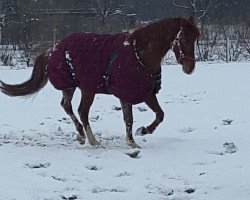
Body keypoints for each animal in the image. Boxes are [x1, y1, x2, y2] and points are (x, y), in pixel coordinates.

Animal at [0, 16, 199, 148]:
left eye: (196, 38)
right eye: (182, 38)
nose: (190, 68)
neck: (140, 55)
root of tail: (53, 48)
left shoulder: (146, 92)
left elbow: (160, 115)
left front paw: (142, 132)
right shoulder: (126, 92)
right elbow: (129, 118)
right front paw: (133, 141)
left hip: (81, 88)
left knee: (72, 108)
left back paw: (83, 136)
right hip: (78, 87)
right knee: (77, 110)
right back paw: (91, 139)